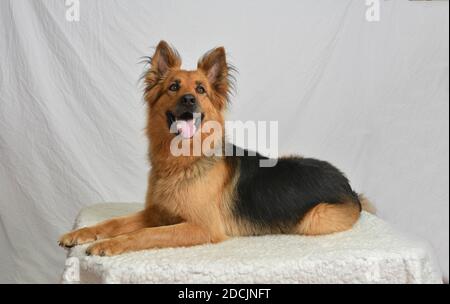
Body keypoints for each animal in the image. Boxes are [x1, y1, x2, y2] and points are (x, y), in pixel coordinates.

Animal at [58, 39, 370, 254]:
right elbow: (113, 222)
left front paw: (110, 244)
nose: (189, 99)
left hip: (313, 220)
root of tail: (348, 185)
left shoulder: (201, 227)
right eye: (173, 87)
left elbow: (145, 235)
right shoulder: (157, 213)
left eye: (200, 90)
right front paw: (81, 233)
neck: (182, 161)